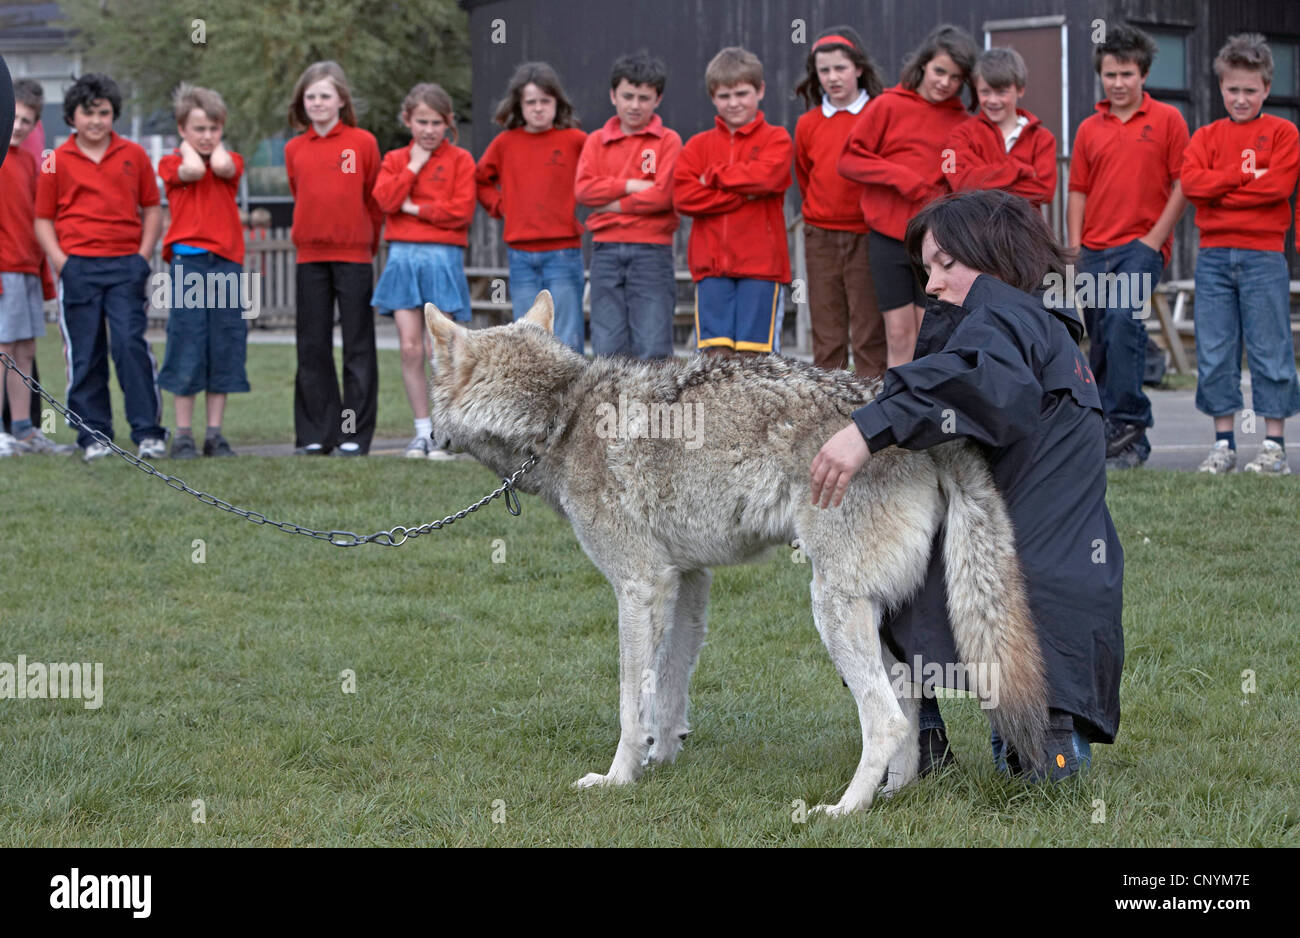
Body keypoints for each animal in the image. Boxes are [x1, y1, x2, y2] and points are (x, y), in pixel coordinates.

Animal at [421, 291, 1050, 810]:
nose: (427, 437)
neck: (562, 413)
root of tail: (909, 416)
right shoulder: (688, 580)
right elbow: (669, 686)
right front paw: (662, 759)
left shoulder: (638, 586)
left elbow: (630, 702)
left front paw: (619, 778)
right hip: (871, 613)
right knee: (910, 701)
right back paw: (891, 795)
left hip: (830, 606)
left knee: (887, 720)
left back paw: (844, 810)